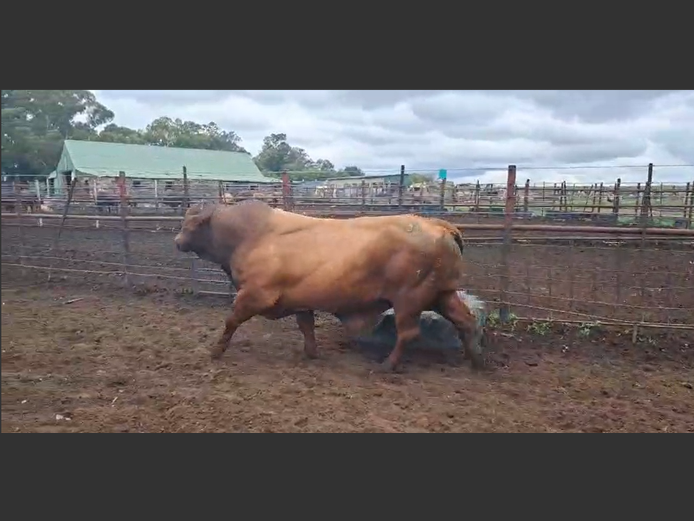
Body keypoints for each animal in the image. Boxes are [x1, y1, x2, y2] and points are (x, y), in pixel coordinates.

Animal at [174, 200, 483, 372]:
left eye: (191, 224)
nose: (177, 241)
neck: (251, 235)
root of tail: (437, 225)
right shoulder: (300, 301)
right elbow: (307, 327)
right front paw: (311, 353)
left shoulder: (254, 295)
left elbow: (231, 321)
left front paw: (216, 352)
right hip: (442, 295)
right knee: (465, 321)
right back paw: (475, 360)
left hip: (410, 299)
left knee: (408, 333)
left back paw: (388, 365)